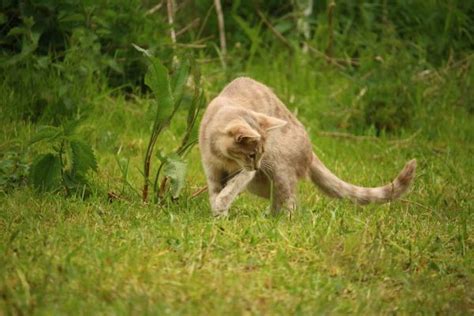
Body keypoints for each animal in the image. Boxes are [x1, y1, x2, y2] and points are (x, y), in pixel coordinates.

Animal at [198, 76, 416, 216]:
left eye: (260, 153)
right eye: (252, 154)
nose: (258, 165)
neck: (223, 157)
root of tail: (311, 152)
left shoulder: (244, 172)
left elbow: (231, 188)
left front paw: (221, 207)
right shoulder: (212, 169)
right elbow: (216, 191)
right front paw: (218, 215)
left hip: (277, 168)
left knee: (290, 200)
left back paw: (279, 221)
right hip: (260, 183)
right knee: (279, 197)